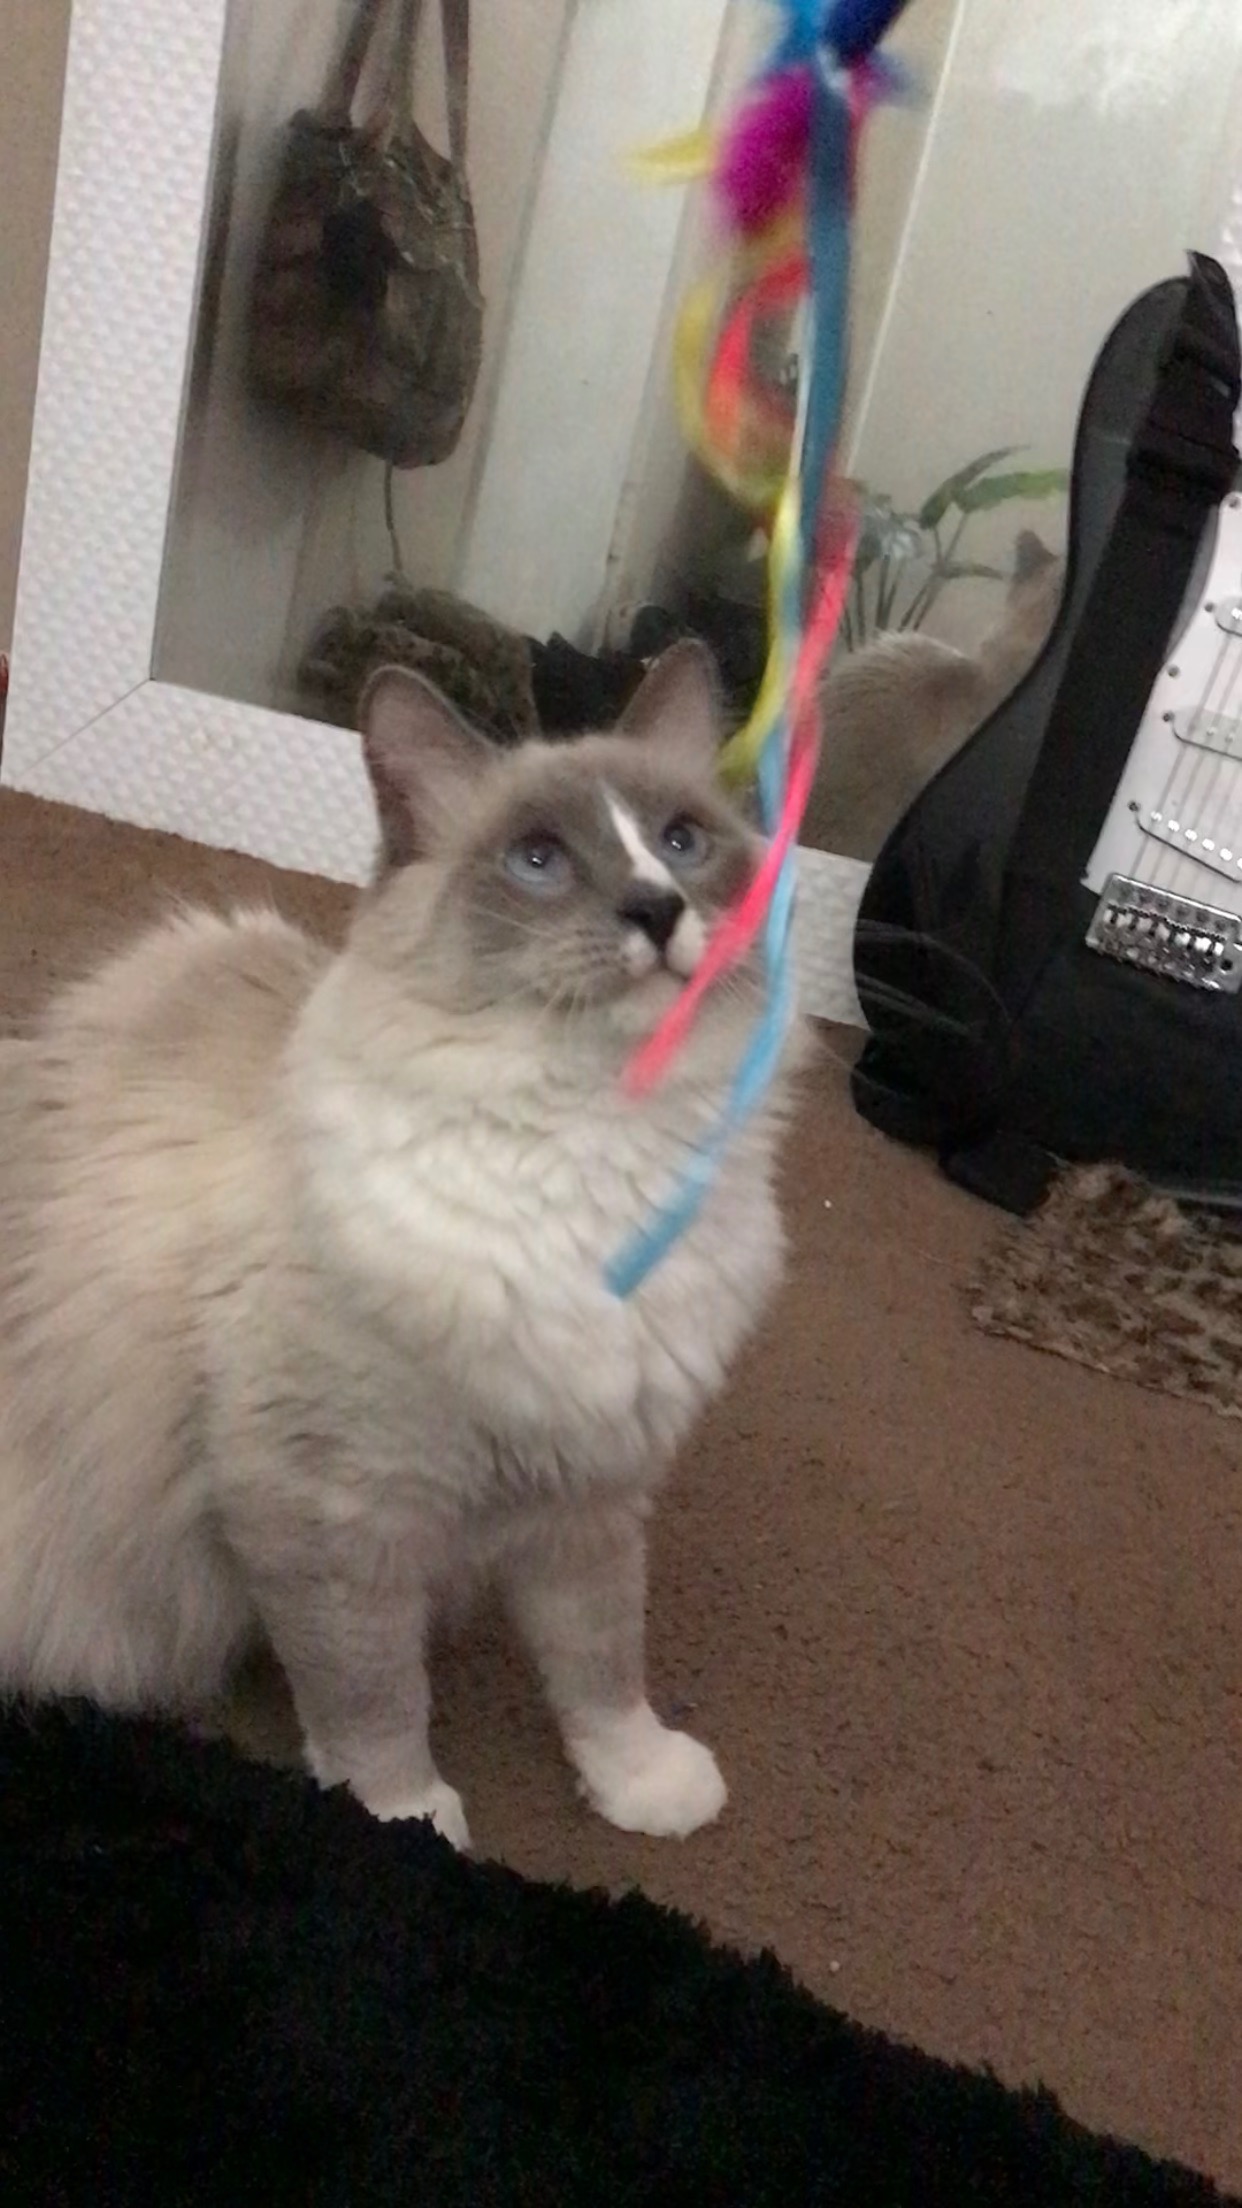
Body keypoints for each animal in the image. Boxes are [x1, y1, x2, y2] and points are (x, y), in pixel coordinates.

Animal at [0, 642, 801, 1851]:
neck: (600, 1149)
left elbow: (603, 1664)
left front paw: (642, 1786)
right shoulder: (333, 1513)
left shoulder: (593, 1490)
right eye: (537, 860)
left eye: (680, 842)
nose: (657, 909)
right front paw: (406, 1828)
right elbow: (374, 1702)